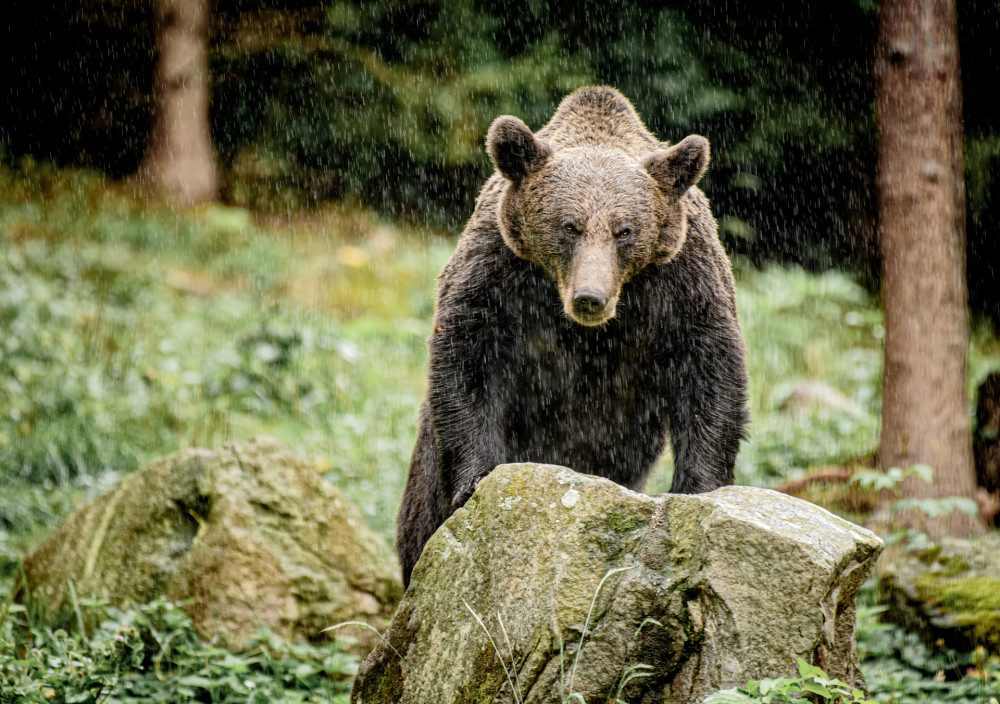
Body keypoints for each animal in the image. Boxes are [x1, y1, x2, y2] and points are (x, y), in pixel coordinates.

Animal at [394, 85, 748, 584]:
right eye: (569, 226)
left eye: (624, 230)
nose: (590, 297)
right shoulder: (499, 269)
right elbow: (467, 354)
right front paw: (475, 482)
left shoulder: (683, 280)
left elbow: (711, 371)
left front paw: (697, 491)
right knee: (420, 511)